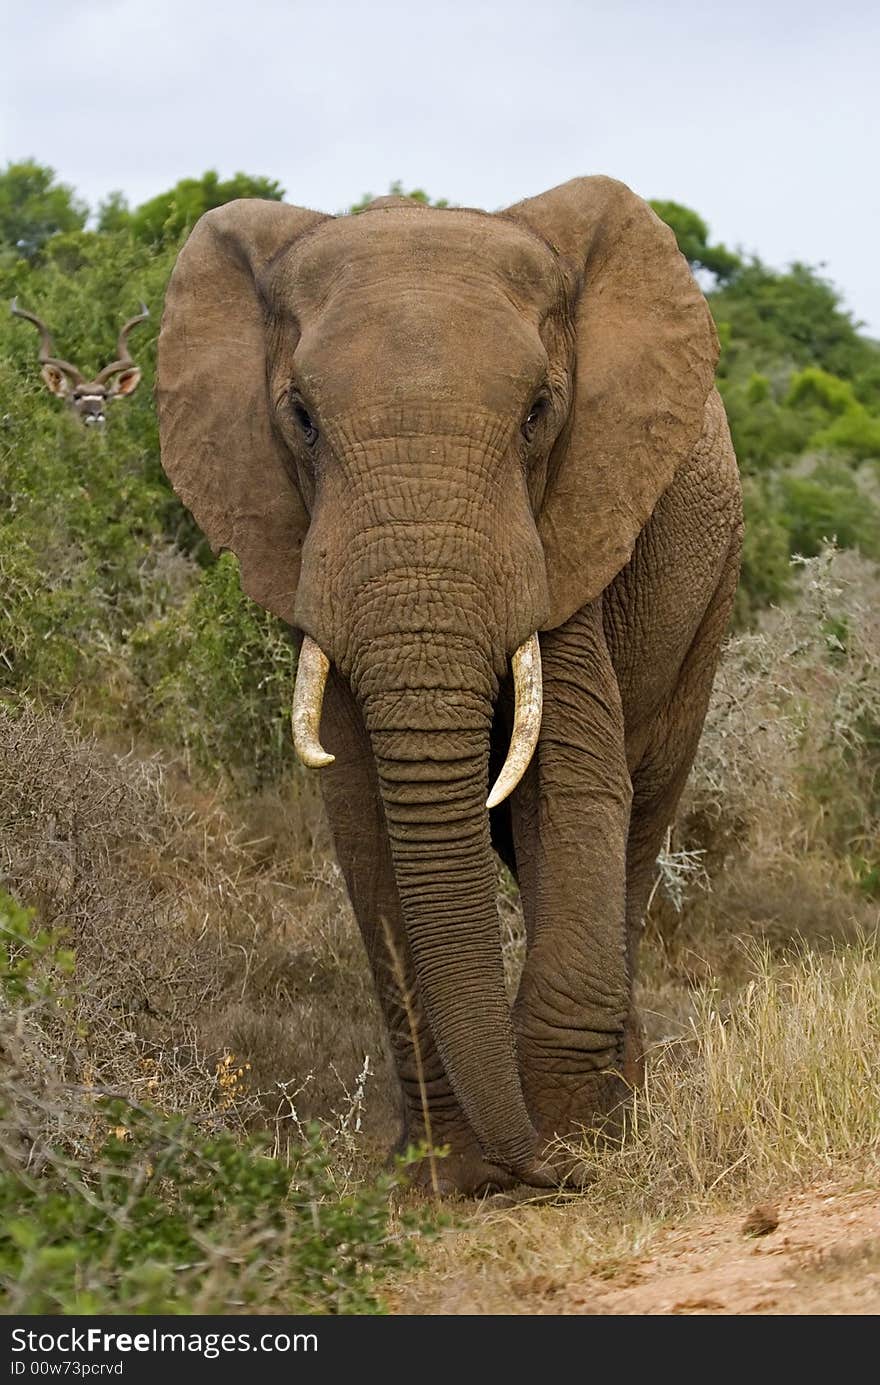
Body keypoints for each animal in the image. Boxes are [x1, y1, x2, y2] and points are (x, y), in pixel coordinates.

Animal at [158, 178, 742, 1196]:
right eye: (299, 416)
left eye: (540, 411)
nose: (546, 1171)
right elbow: (363, 811)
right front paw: (445, 1175)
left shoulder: (572, 523)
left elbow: (570, 784)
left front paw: (576, 1145)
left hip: (707, 599)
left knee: (640, 818)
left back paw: (621, 1113)